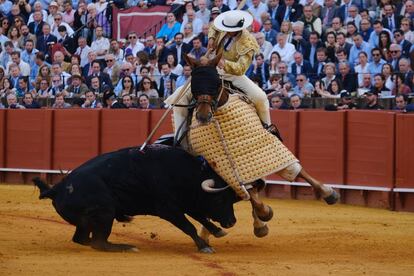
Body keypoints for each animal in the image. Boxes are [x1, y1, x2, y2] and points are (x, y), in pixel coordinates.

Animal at [34, 146, 241, 253]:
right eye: (219, 199)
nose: (232, 222)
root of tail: (58, 188)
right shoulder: (168, 209)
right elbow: (189, 225)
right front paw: (204, 246)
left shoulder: (186, 202)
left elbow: (201, 217)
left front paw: (218, 231)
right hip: (105, 212)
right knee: (98, 242)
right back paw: (126, 247)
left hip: (88, 221)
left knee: (82, 239)